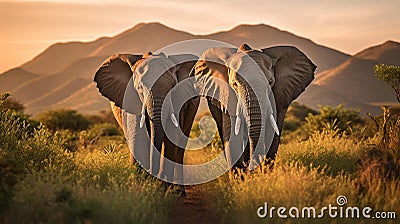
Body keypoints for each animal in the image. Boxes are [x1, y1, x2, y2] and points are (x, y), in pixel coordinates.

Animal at [94, 51, 200, 194]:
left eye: (173, 86)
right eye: (139, 88)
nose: (153, 178)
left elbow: (171, 138)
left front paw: (163, 190)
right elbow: (138, 136)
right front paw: (140, 188)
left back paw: (179, 191)